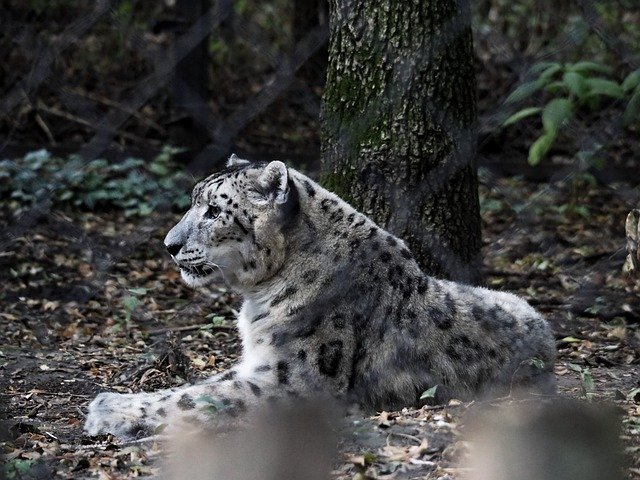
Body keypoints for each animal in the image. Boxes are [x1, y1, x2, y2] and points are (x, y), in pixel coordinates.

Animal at [85, 156, 556, 436]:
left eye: (214, 211)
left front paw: (108, 409)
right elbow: (203, 384)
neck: (258, 298)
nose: (169, 245)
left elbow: (197, 396)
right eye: (193, 201)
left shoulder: (292, 379)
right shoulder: (259, 362)